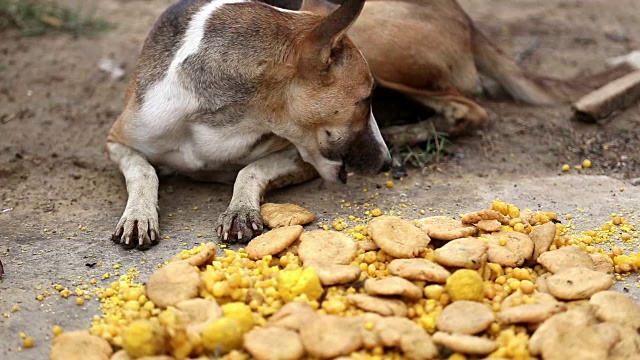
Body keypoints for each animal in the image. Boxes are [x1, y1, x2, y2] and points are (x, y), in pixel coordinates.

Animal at [105, 0, 392, 249]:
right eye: (367, 98)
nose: (387, 163)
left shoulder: (301, 158)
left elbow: (251, 170)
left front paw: (240, 209)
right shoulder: (117, 140)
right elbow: (143, 170)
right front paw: (139, 214)